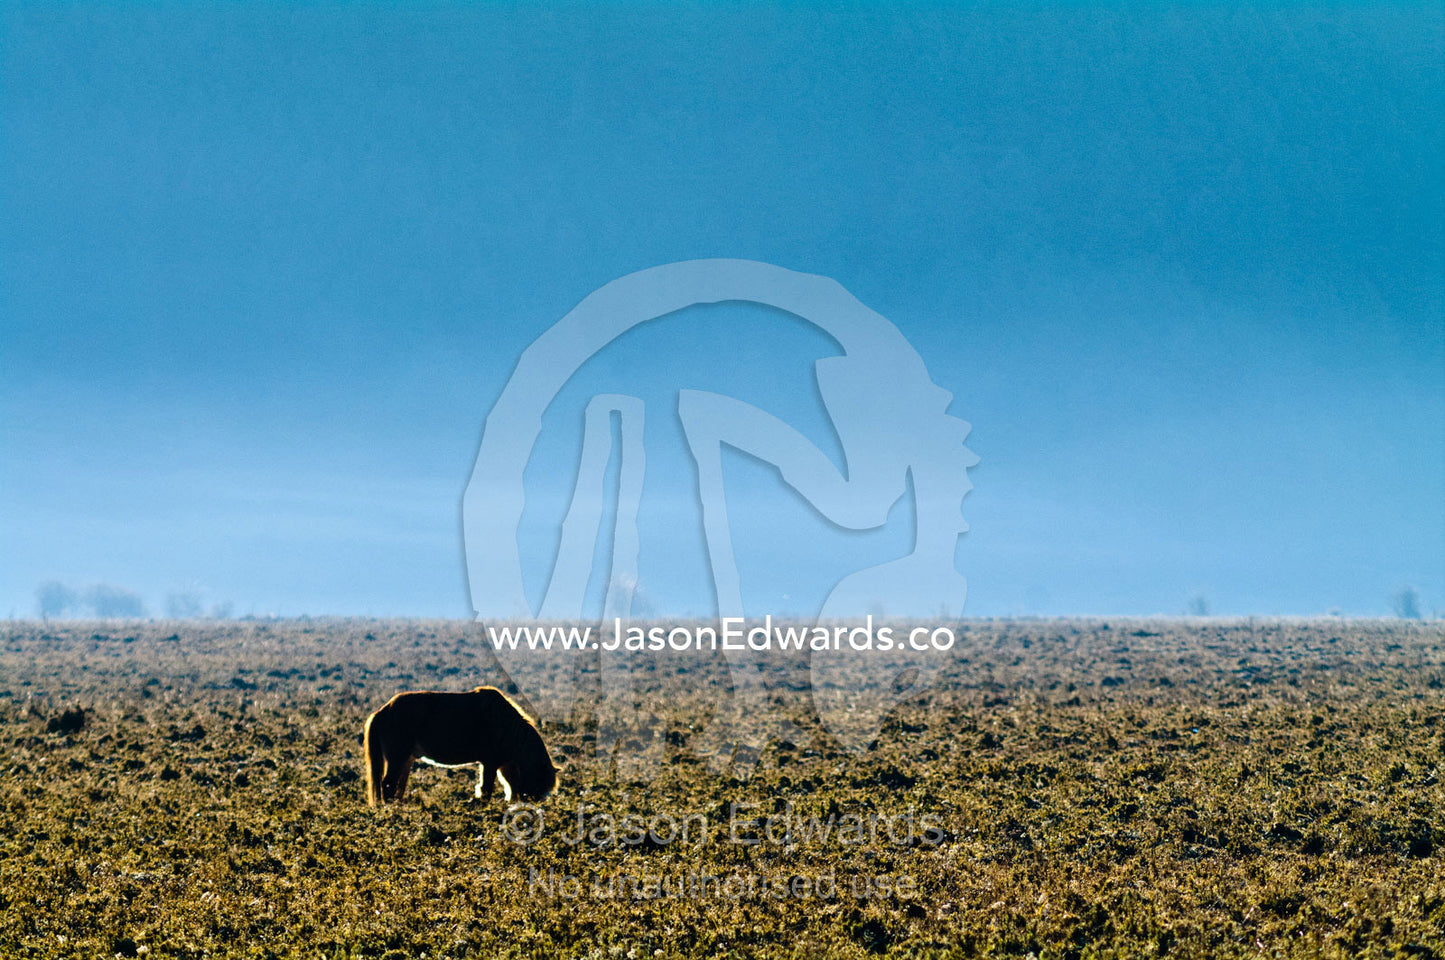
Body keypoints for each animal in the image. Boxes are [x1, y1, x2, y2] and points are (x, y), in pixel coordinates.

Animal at [363, 685, 556, 806]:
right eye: (539, 783)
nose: (531, 806)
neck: (507, 726)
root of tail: (383, 710)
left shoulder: (503, 764)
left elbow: (509, 786)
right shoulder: (490, 763)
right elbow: (486, 789)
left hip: (407, 759)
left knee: (398, 786)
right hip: (397, 757)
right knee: (388, 785)